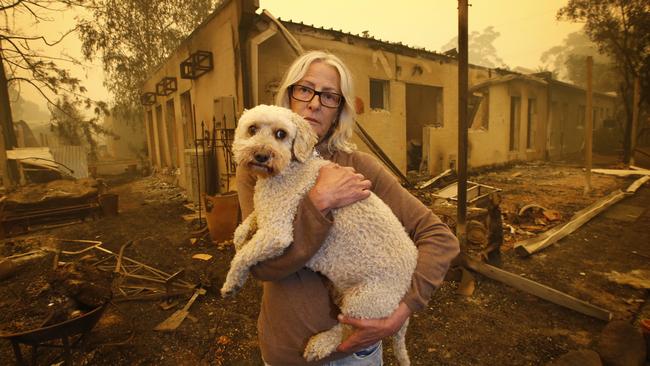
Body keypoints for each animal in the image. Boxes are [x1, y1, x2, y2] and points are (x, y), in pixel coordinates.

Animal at [221, 104, 416, 364]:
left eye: (281, 134)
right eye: (252, 129)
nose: (261, 155)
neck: (290, 169)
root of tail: (405, 292)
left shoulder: (277, 232)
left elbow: (243, 257)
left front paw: (232, 282)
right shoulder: (266, 212)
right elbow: (247, 225)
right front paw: (241, 235)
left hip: (365, 300)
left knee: (348, 330)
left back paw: (320, 344)